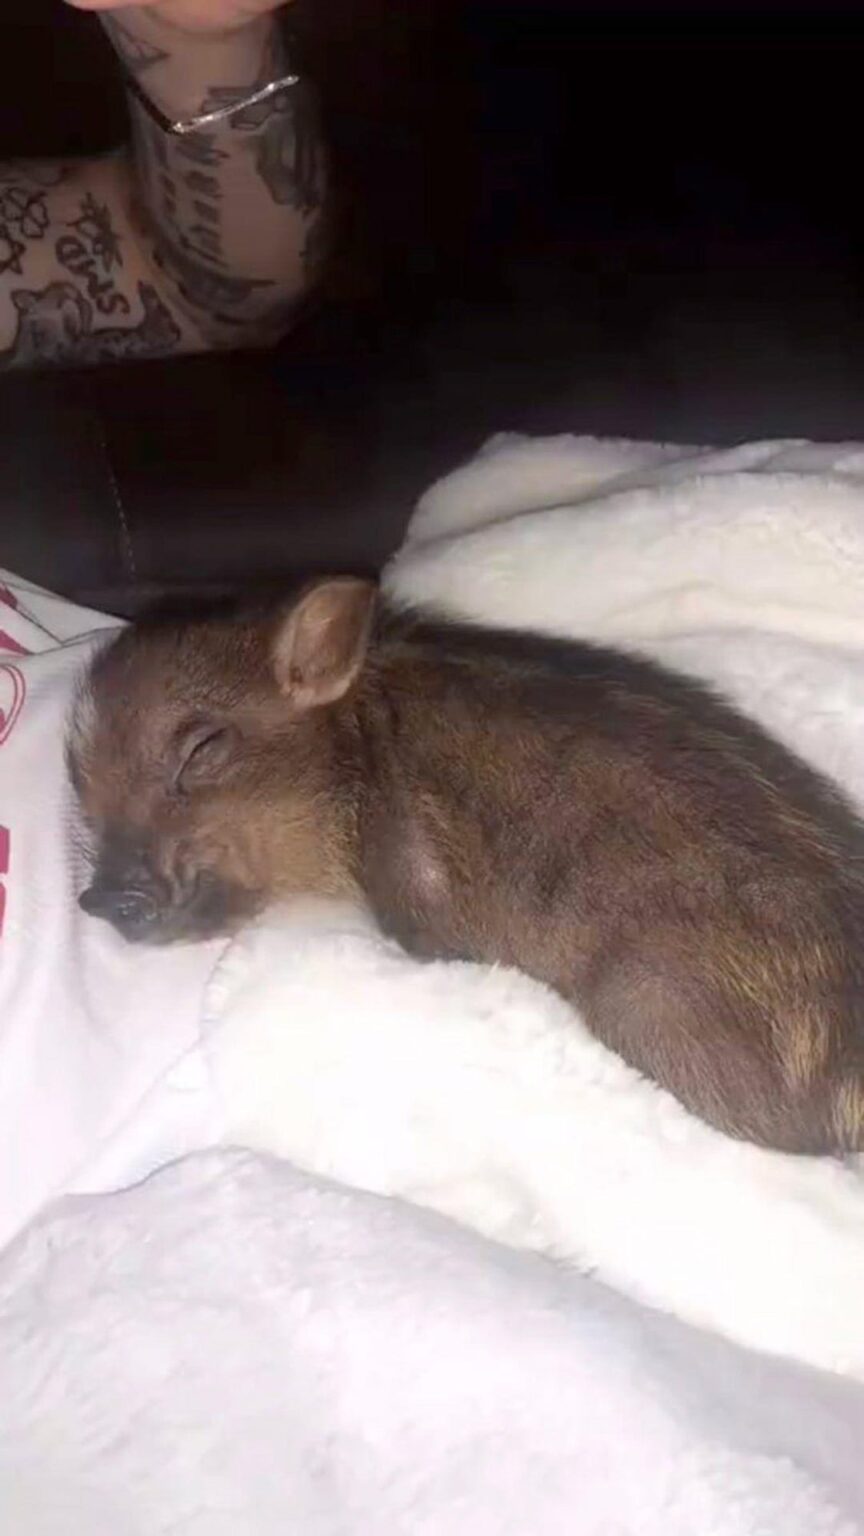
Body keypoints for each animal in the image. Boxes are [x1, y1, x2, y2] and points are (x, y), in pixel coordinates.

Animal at [68, 577, 864, 1154]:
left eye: (202, 749)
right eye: (81, 789)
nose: (101, 900)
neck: (352, 750)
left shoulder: (414, 882)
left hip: (648, 1005)